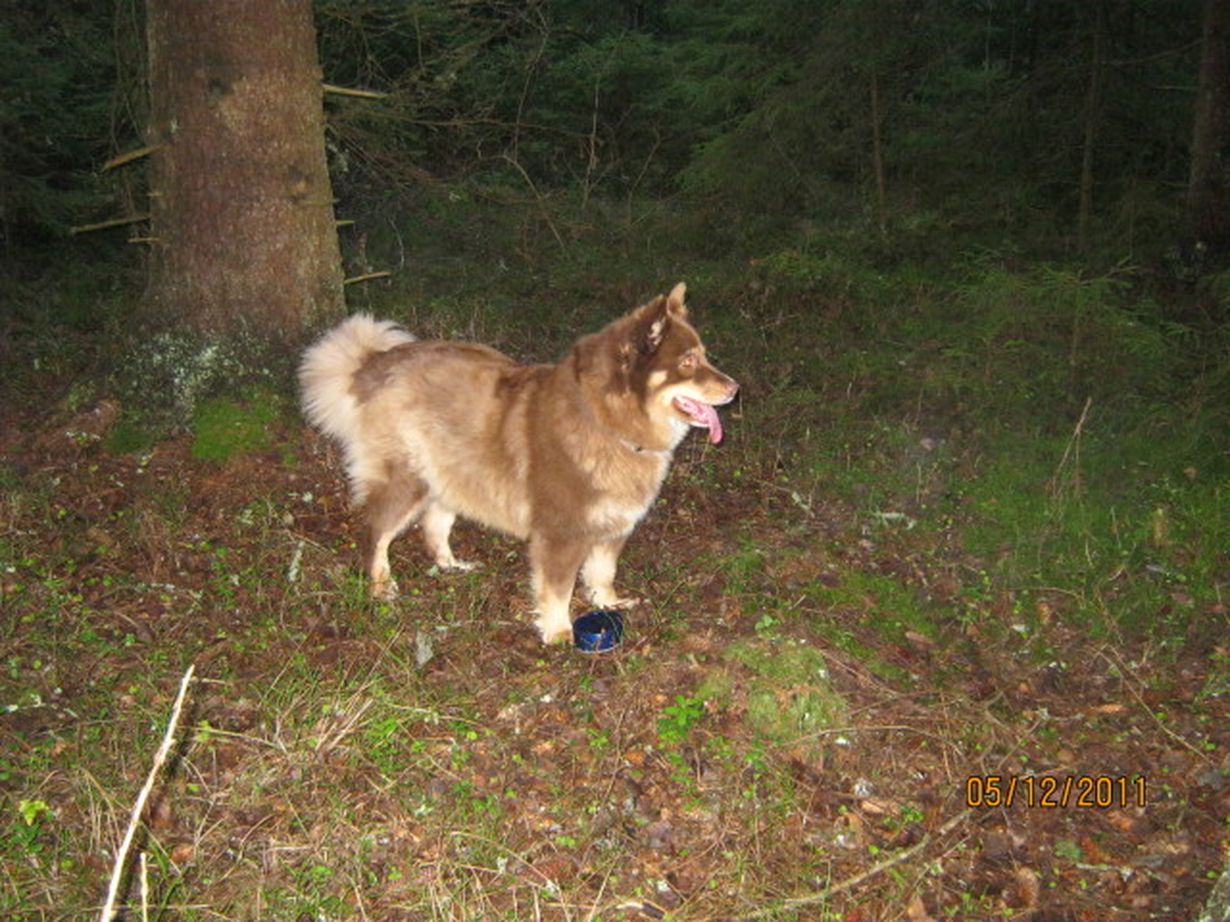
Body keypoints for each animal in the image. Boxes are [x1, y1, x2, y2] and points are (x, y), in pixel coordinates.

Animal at [298, 283, 738, 644]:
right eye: (687, 362)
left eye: (704, 356)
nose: (735, 387)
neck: (605, 419)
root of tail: (376, 363)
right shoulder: (560, 533)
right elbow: (557, 588)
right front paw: (558, 632)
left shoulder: (612, 526)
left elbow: (603, 573)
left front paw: (607, 604)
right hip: (407, 479)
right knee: (376, 532)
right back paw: (381, 585)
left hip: (451, 473)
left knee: (434, 525)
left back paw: (451, 564)